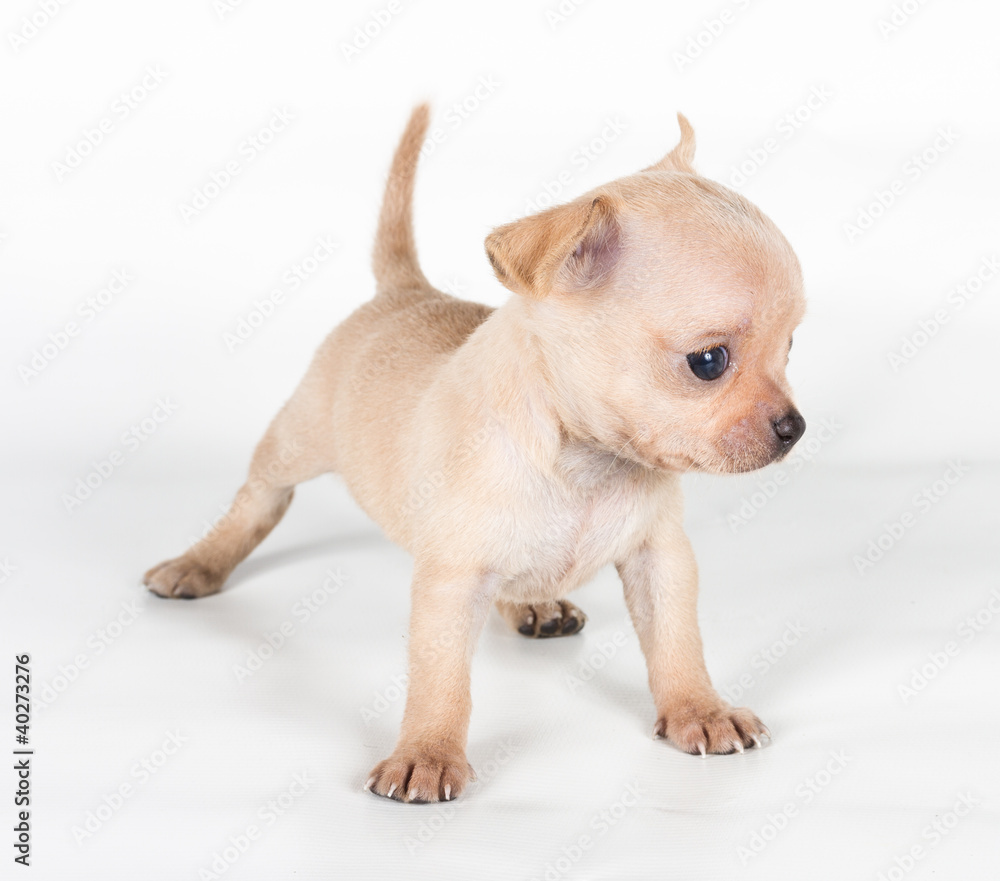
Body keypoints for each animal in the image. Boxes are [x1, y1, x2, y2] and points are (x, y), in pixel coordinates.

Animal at [145, 105, 808, 804]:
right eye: (708, 362)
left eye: (791, 348)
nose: (795, 427)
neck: (584, 460)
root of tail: (406, 290)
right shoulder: (451, 582)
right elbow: (443, 683)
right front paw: (428, 753)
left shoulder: (661, 559)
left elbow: (678, 644)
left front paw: (698, 710)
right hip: (297, 441)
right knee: (260, 499)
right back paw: (199, 563)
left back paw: (535, 604)